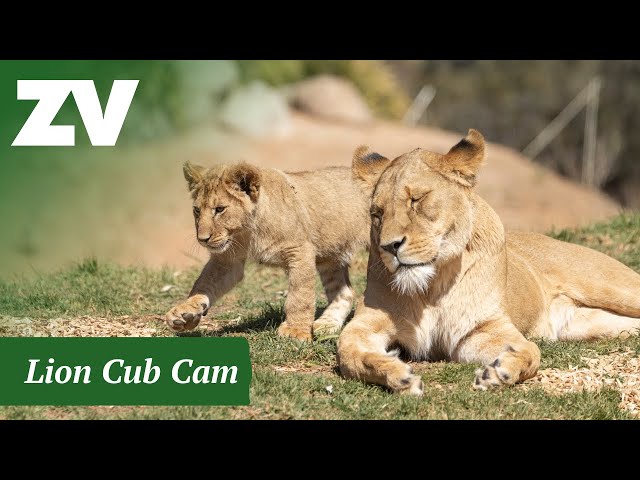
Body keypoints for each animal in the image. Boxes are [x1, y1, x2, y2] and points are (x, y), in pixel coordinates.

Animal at [165, 161, 372, 341]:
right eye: (197, 210)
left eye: (220, 209)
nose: (202, 239)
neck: (249, 231)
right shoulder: (227, 260)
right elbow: (204, 283)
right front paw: (184, 312)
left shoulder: (300, 251)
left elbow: (299, 296)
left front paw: (296, 331)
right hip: (330, 257)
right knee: (345, 293)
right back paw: (327, 325)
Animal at [337, 129, 640, 395]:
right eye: (377, 213)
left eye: (417, 199)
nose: (389, 246)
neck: (431, 287)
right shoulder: (367, 323)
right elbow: (350, 354)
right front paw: (397, 374)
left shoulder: (482, 327)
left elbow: (530, 351)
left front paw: (500, 372)